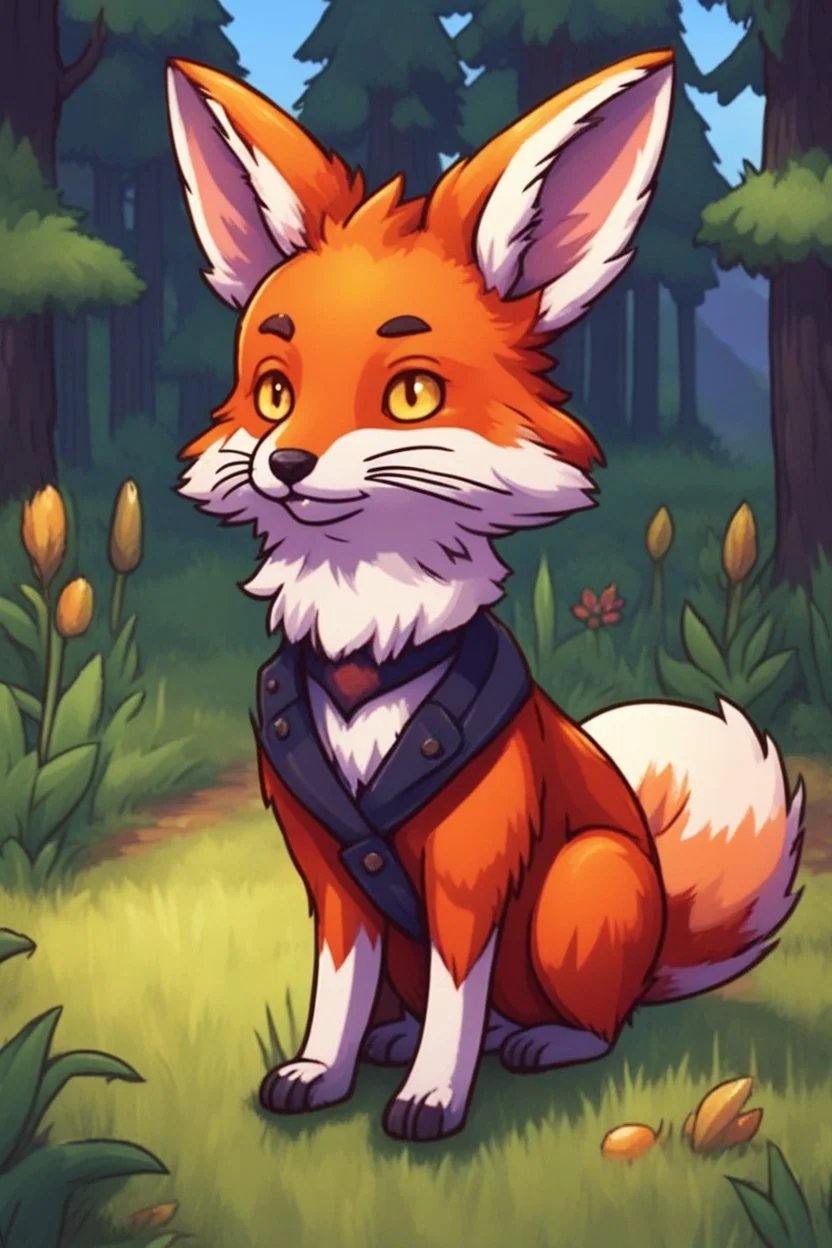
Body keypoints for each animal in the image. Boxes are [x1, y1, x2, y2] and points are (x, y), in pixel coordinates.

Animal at [166, 49, 805, 1143]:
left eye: (412, 394)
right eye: (275, 391)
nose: (285, 464)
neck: (367, 664)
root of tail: (655, 963)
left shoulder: (472, 869)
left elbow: (458, 1004)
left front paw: (433, 1097)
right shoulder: (333, 874)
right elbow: (337, 990)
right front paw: (322, 1072)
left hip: (582, 885)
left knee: (585, 1025)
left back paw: (541, 1042)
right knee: (410, 1002)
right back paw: (389, 1039)